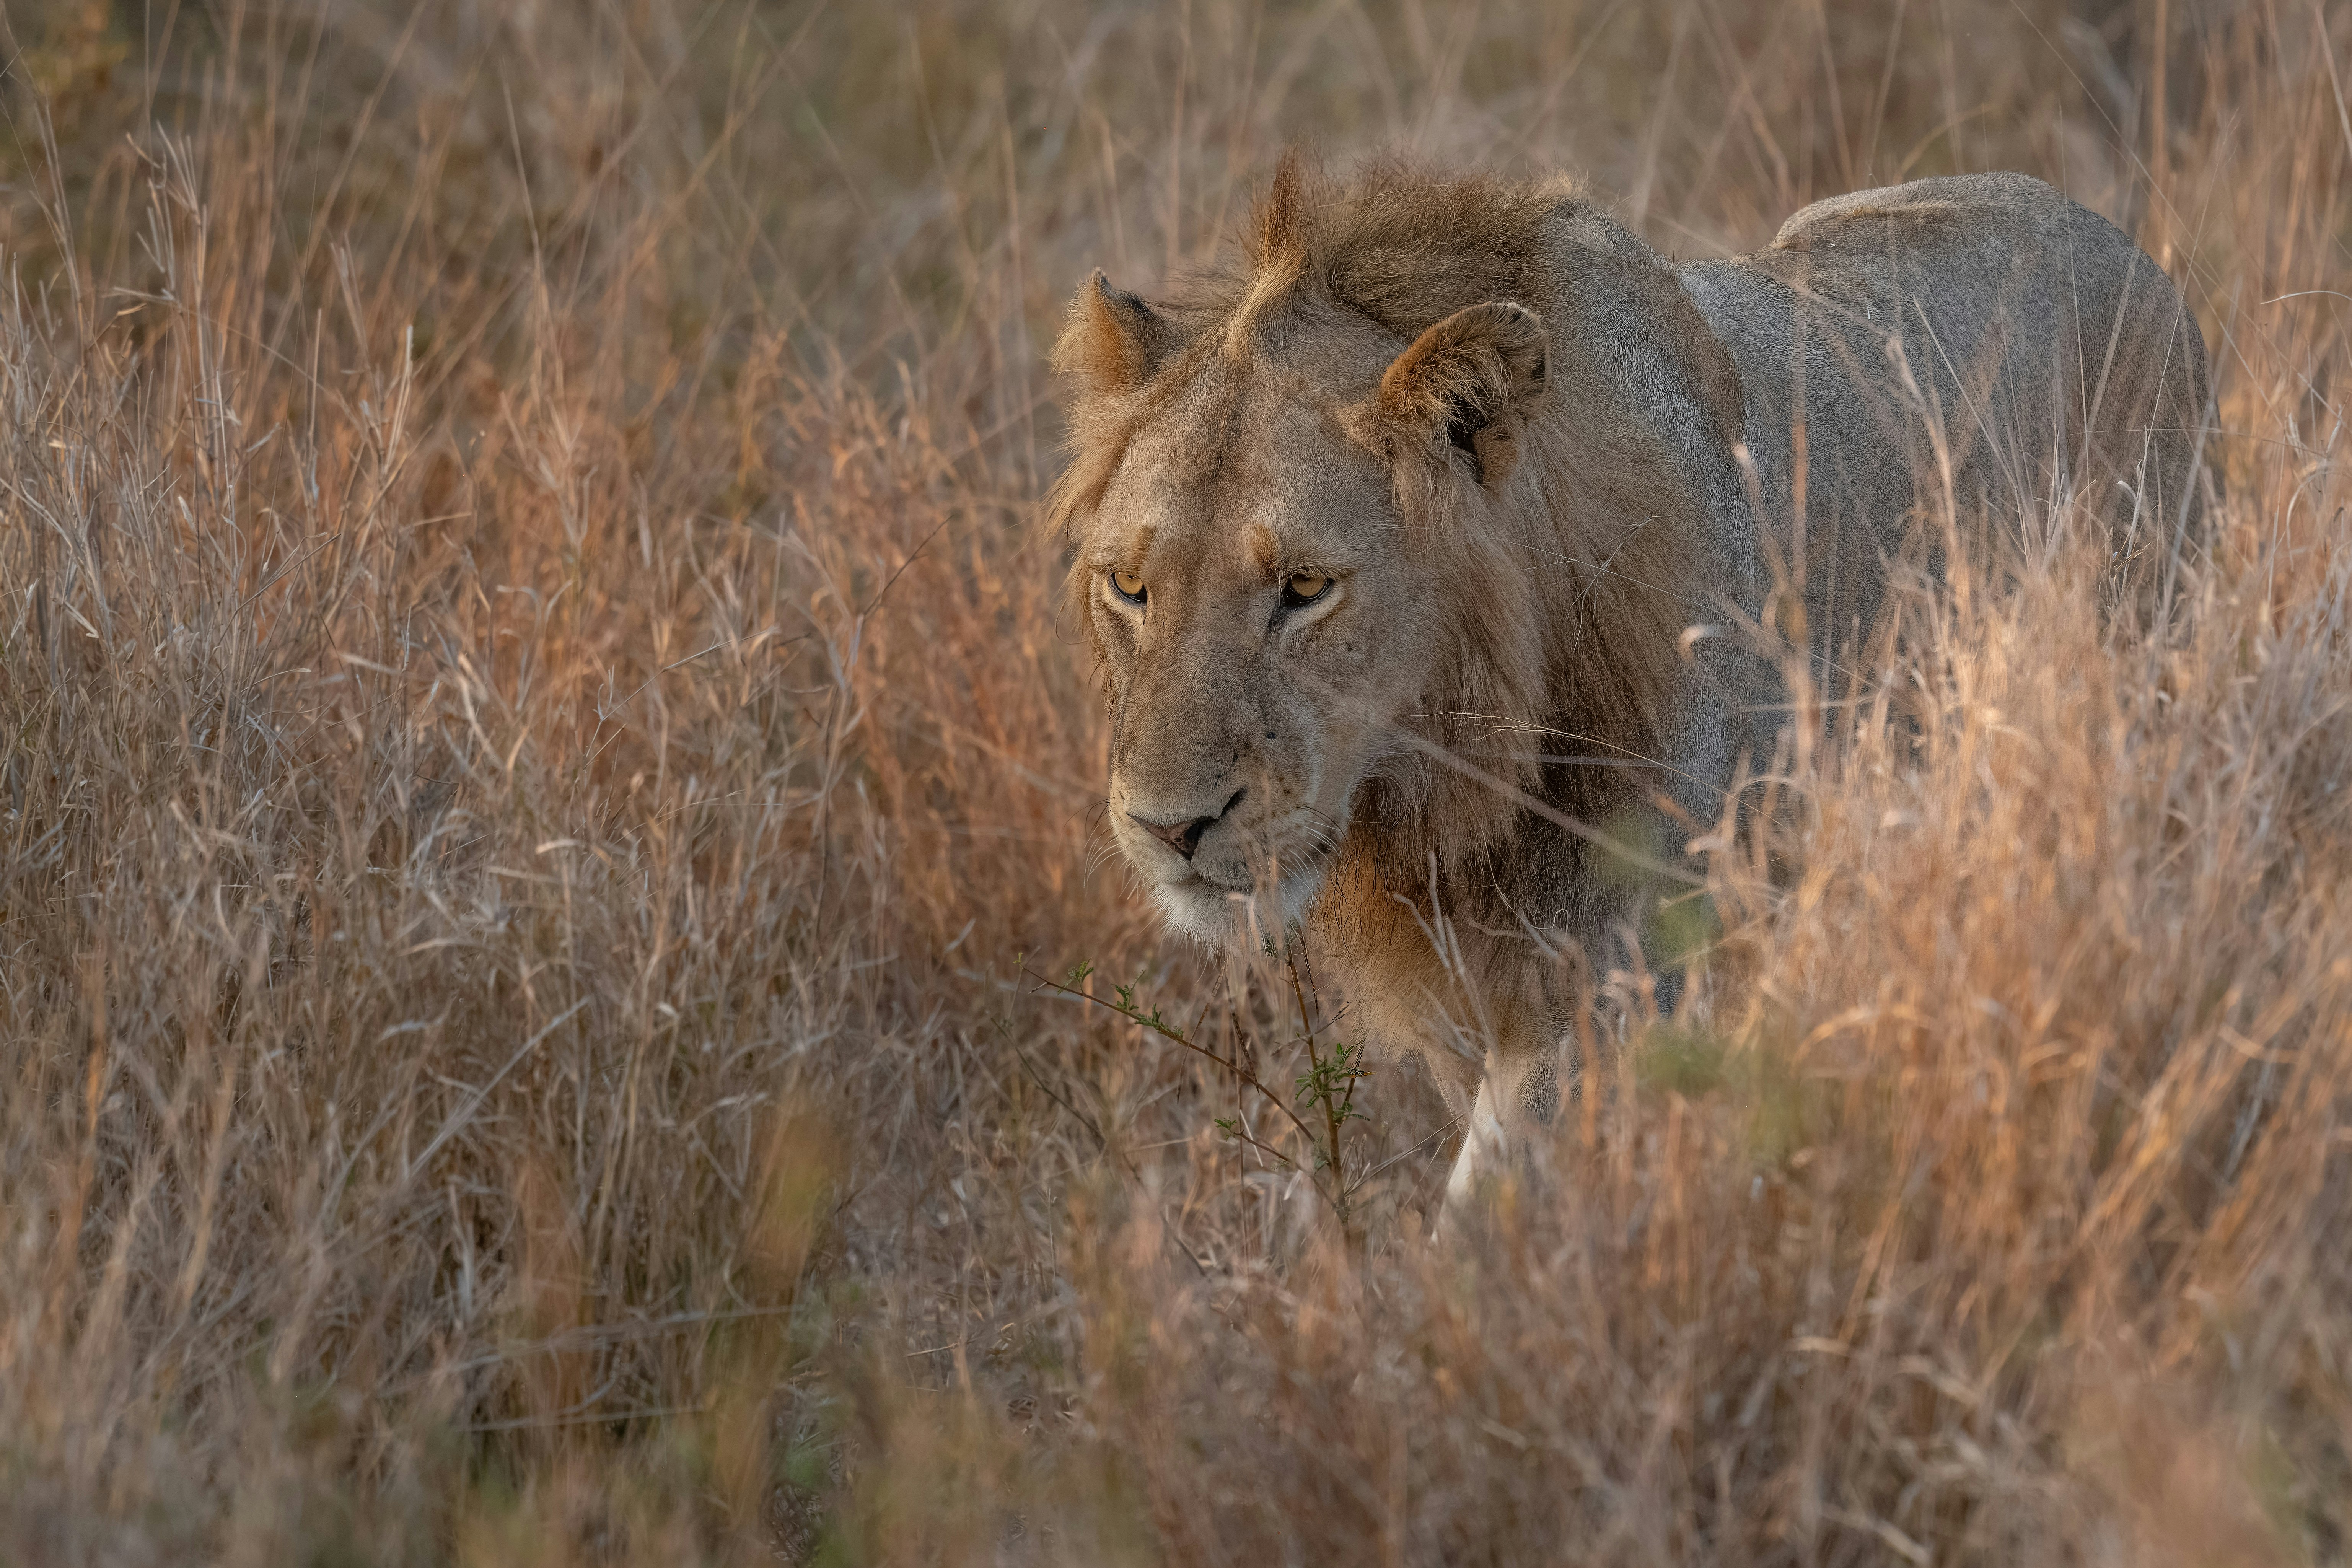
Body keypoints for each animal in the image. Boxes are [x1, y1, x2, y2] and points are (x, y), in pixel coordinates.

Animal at [1047, 154, 2209, 1216]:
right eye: (1130, 587)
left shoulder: (1611, 964)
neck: (1463, 752)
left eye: (1303, 588)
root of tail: (2131, 250)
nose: (1168, 828)